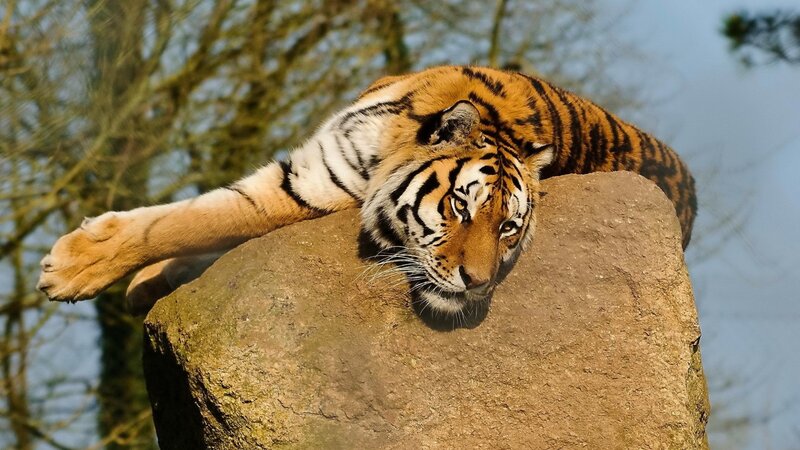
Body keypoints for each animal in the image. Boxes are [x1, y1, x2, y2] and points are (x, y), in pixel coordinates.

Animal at [36, 65, 696, 316]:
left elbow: (197, 221)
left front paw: (70, 269)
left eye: (509, 228)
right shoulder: (309, 170)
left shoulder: (301, 192)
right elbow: (192, 220)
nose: (478, 283)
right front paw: (133, 277)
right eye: (460, 206)